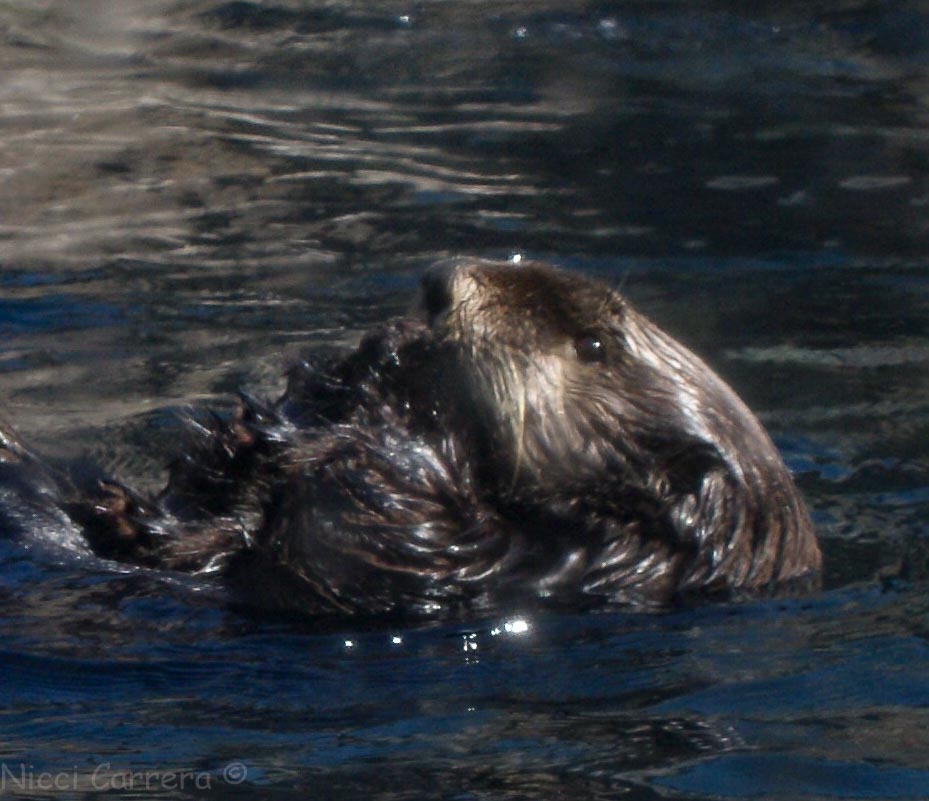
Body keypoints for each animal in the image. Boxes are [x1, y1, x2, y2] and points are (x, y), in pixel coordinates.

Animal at [0, 259, 821, 620]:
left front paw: (387, 392)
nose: (439, 283)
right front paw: (310, 392)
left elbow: (370, 518)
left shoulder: (479, 569)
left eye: (592, 344)